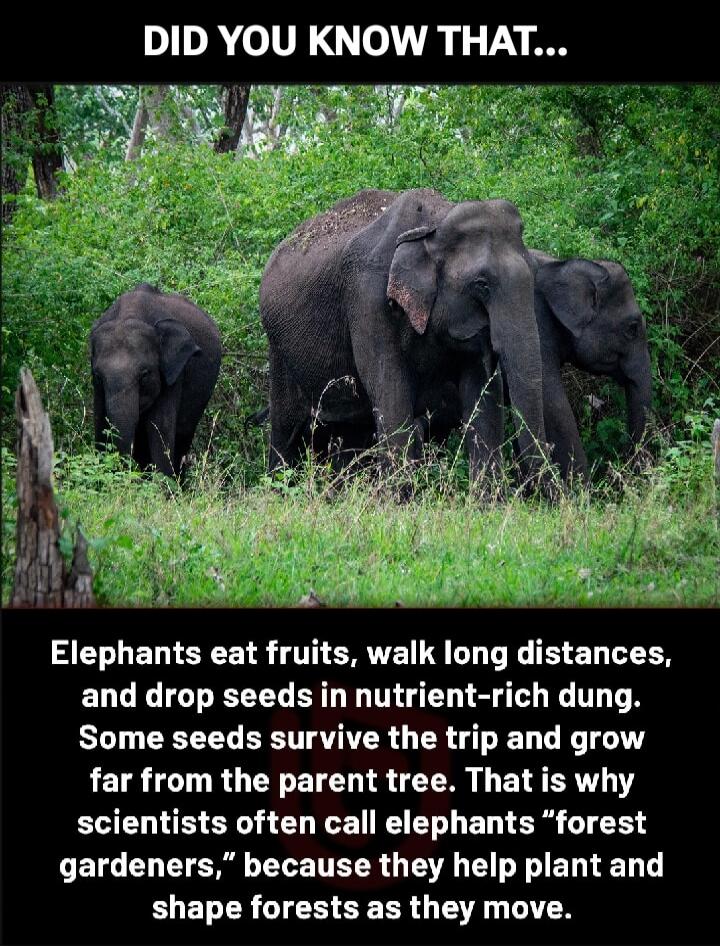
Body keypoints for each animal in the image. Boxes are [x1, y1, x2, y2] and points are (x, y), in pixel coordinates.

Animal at [90, 284, 221, 476]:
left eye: (144, 375)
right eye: (99, 376)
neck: (129, 314)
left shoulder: (174, 373)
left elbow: (160, 428)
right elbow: (100, 422)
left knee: (183, 435)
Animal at [260, 188, 549, 484]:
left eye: (535, 272)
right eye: (481, 284)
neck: (436, 222)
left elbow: (483, 393)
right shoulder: (367, 299)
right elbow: (392, 396)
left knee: (349, 431)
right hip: (279, 350)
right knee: (286, 428)